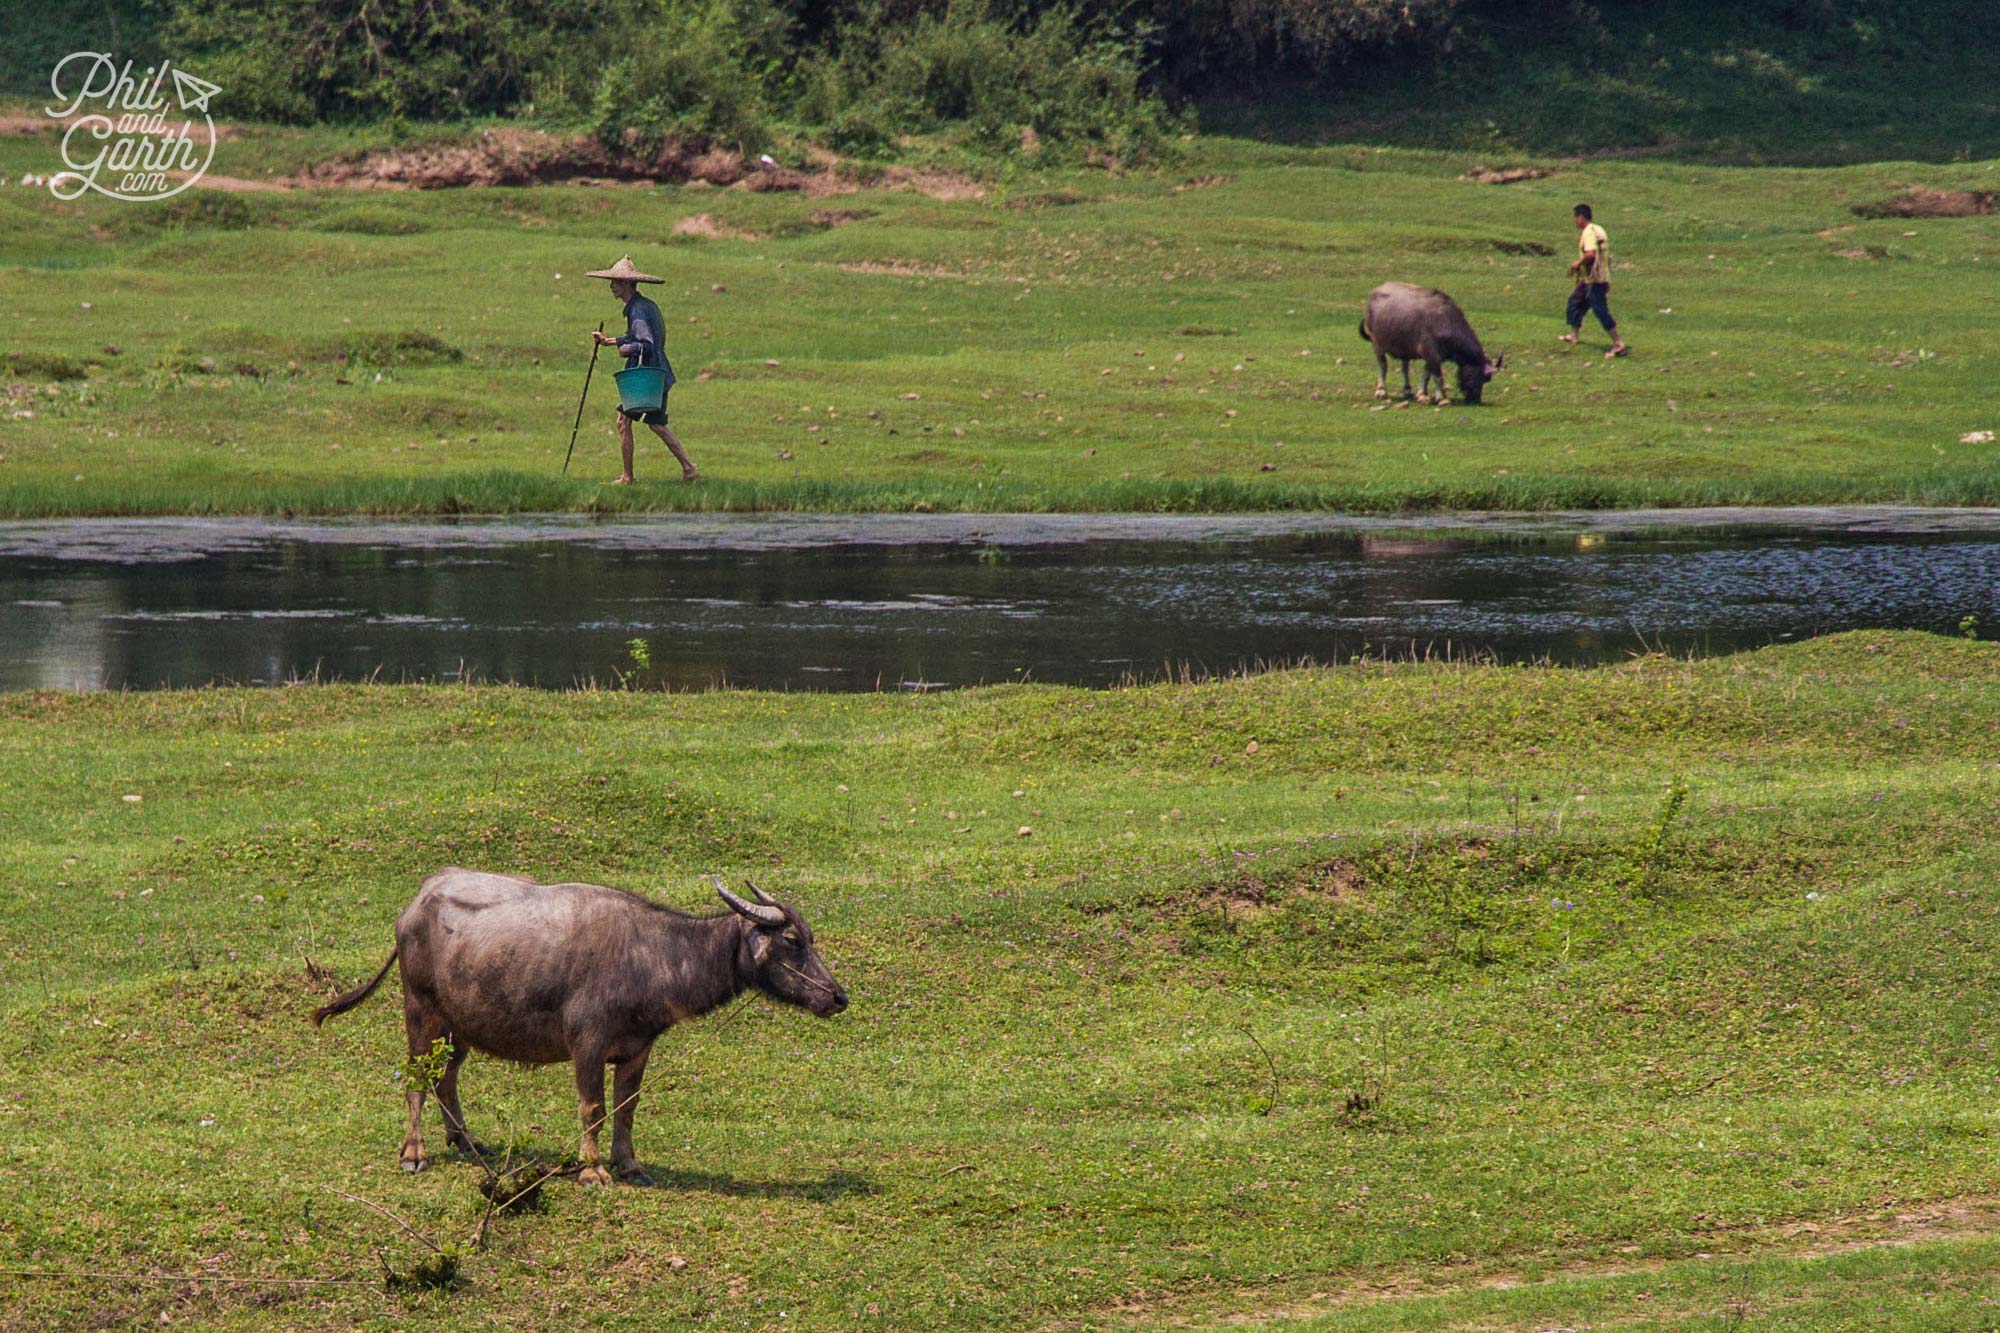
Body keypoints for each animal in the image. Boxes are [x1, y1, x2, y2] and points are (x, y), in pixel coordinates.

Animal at [316, 860, 848, 1184]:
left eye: (810, 938)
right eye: (792, 941)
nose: (838, 997)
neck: (649, 954)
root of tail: (419, 899)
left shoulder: (638, 1047)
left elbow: (627, 1107)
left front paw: (629, 1164)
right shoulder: (587, 1043)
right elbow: (593, 1106)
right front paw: (593, 1171)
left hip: (460, 1024)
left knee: (447, 1077)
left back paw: (464, 1139)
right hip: (420, 1011)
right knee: (417, 1078)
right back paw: (415, 1153)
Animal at [1360, 282, 1504, 402]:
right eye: (1482, 377)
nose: (1475, 400)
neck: (1446, 321)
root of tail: (1374, 292)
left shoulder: (1433, 357)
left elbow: (1427, 375)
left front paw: (1422, 394)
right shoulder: (1430, 353)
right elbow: (1438, 376)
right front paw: (1441, 398)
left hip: (1404, 348)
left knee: (1405, 368)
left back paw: (1408, 391)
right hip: (1377, 344)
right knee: (1383, 365)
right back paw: (1381, 391)